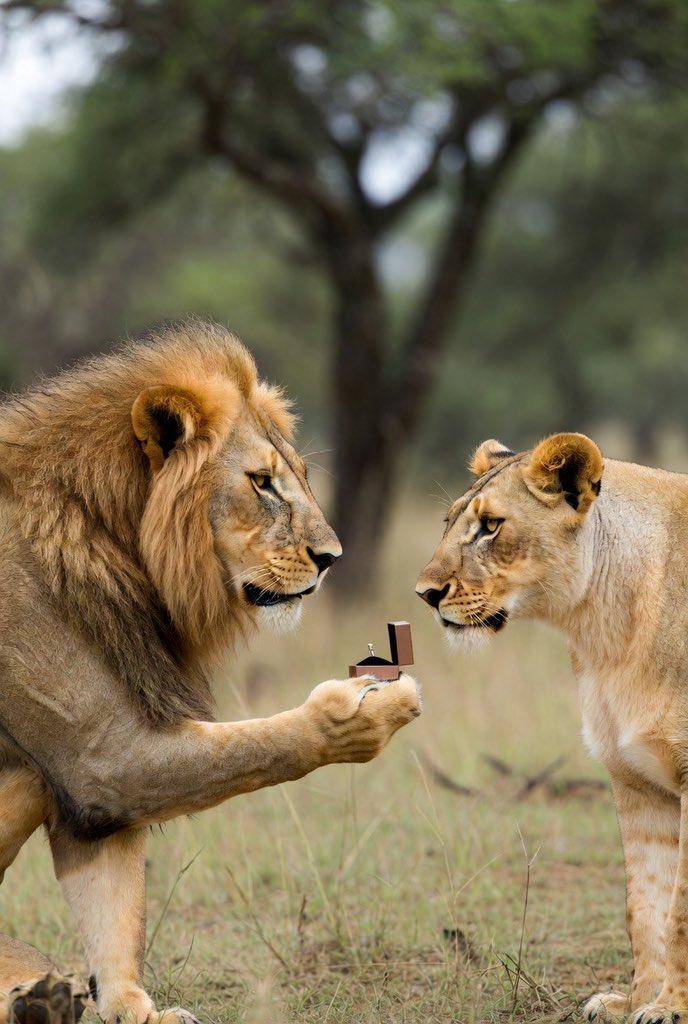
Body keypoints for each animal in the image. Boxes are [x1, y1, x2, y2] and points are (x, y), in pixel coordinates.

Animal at [0, 320, 421, 1024]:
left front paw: (136, 1011)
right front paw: (366, 709)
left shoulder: (92, 795)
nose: (332, 557)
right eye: (263, 483)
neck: (113, 541)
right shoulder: (104, 761)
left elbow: (114, 912)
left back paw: (41, 999)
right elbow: (271, 741)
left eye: (302, 477)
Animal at [417, 432, 688, 1024]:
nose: (424, 593)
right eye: (447, 523)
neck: (605, 629)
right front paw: (636, 999)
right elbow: (645, 905)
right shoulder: (636, 784)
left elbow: (679, 910)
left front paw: (672, 1009)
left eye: (490, 526)